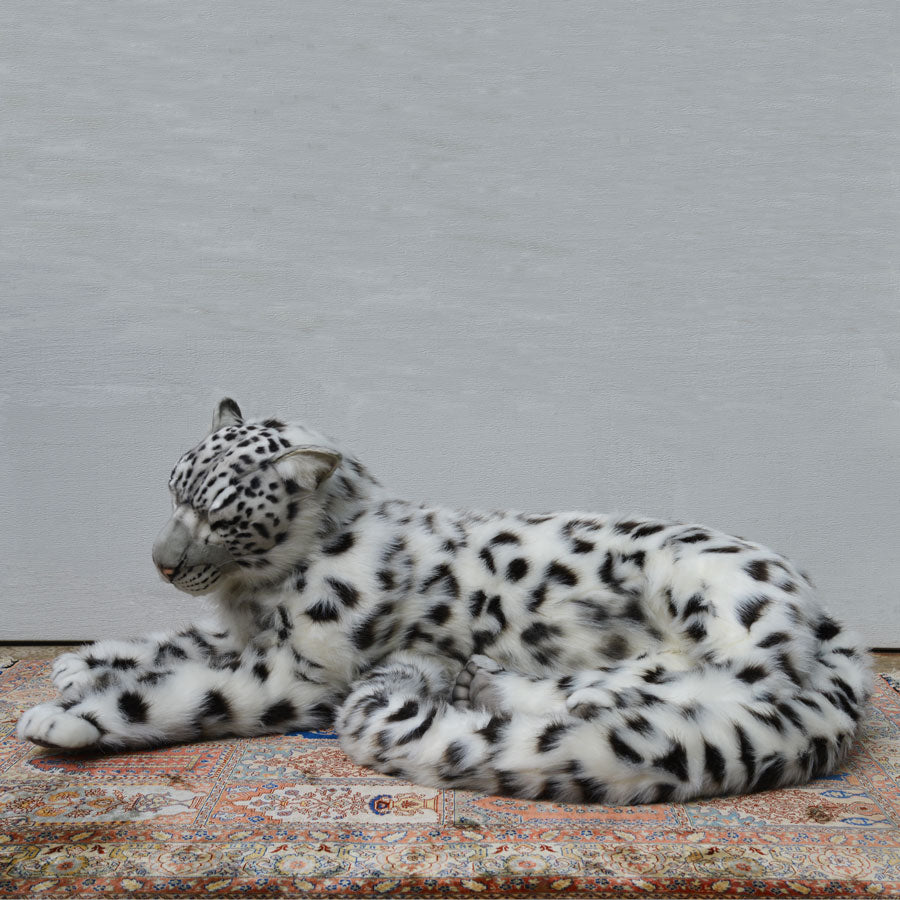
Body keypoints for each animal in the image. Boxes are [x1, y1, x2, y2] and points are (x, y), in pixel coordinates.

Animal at [17, 398, 872, 804]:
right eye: (172, 490)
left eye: (220, 514)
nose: (161, 563)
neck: (258, 595)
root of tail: (831, 624)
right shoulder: (254, 636)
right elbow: (180, 641)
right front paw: (86, 660)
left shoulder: (297, 674)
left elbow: (190, 690)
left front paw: (66, 715)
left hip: (708, 593)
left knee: (722, 679)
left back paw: (495, 683)